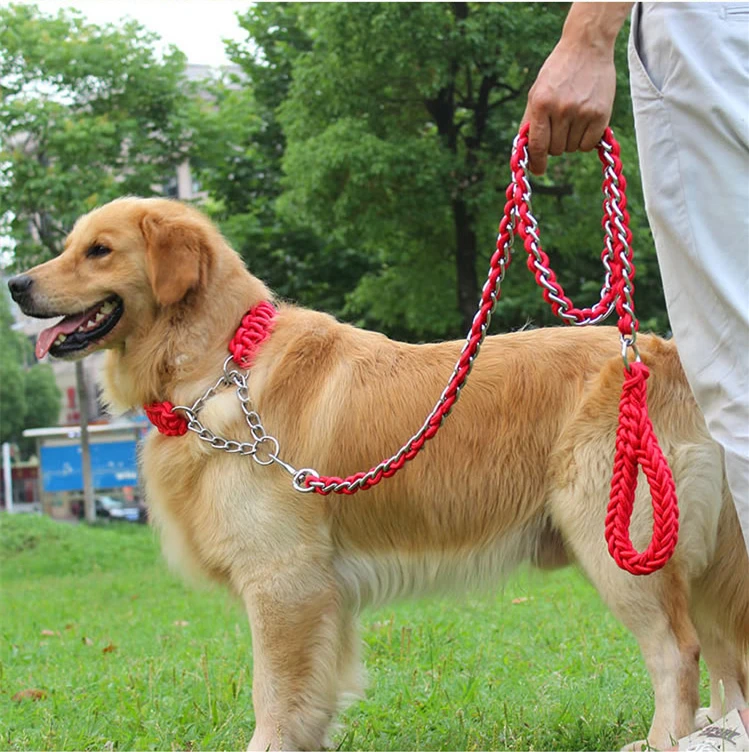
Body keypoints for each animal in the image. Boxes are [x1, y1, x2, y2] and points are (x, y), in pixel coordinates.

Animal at [7, 197, 748, 748]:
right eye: (68, 244)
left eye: (98, 251)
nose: (15, 284)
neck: (220, 363)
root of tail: (658, 352)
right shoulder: (318, 596)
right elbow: (310, 696)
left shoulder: (284, 581)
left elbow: (273, 691)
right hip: (692, 554)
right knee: (721, 654)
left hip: (619, 542)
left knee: (677, 653)